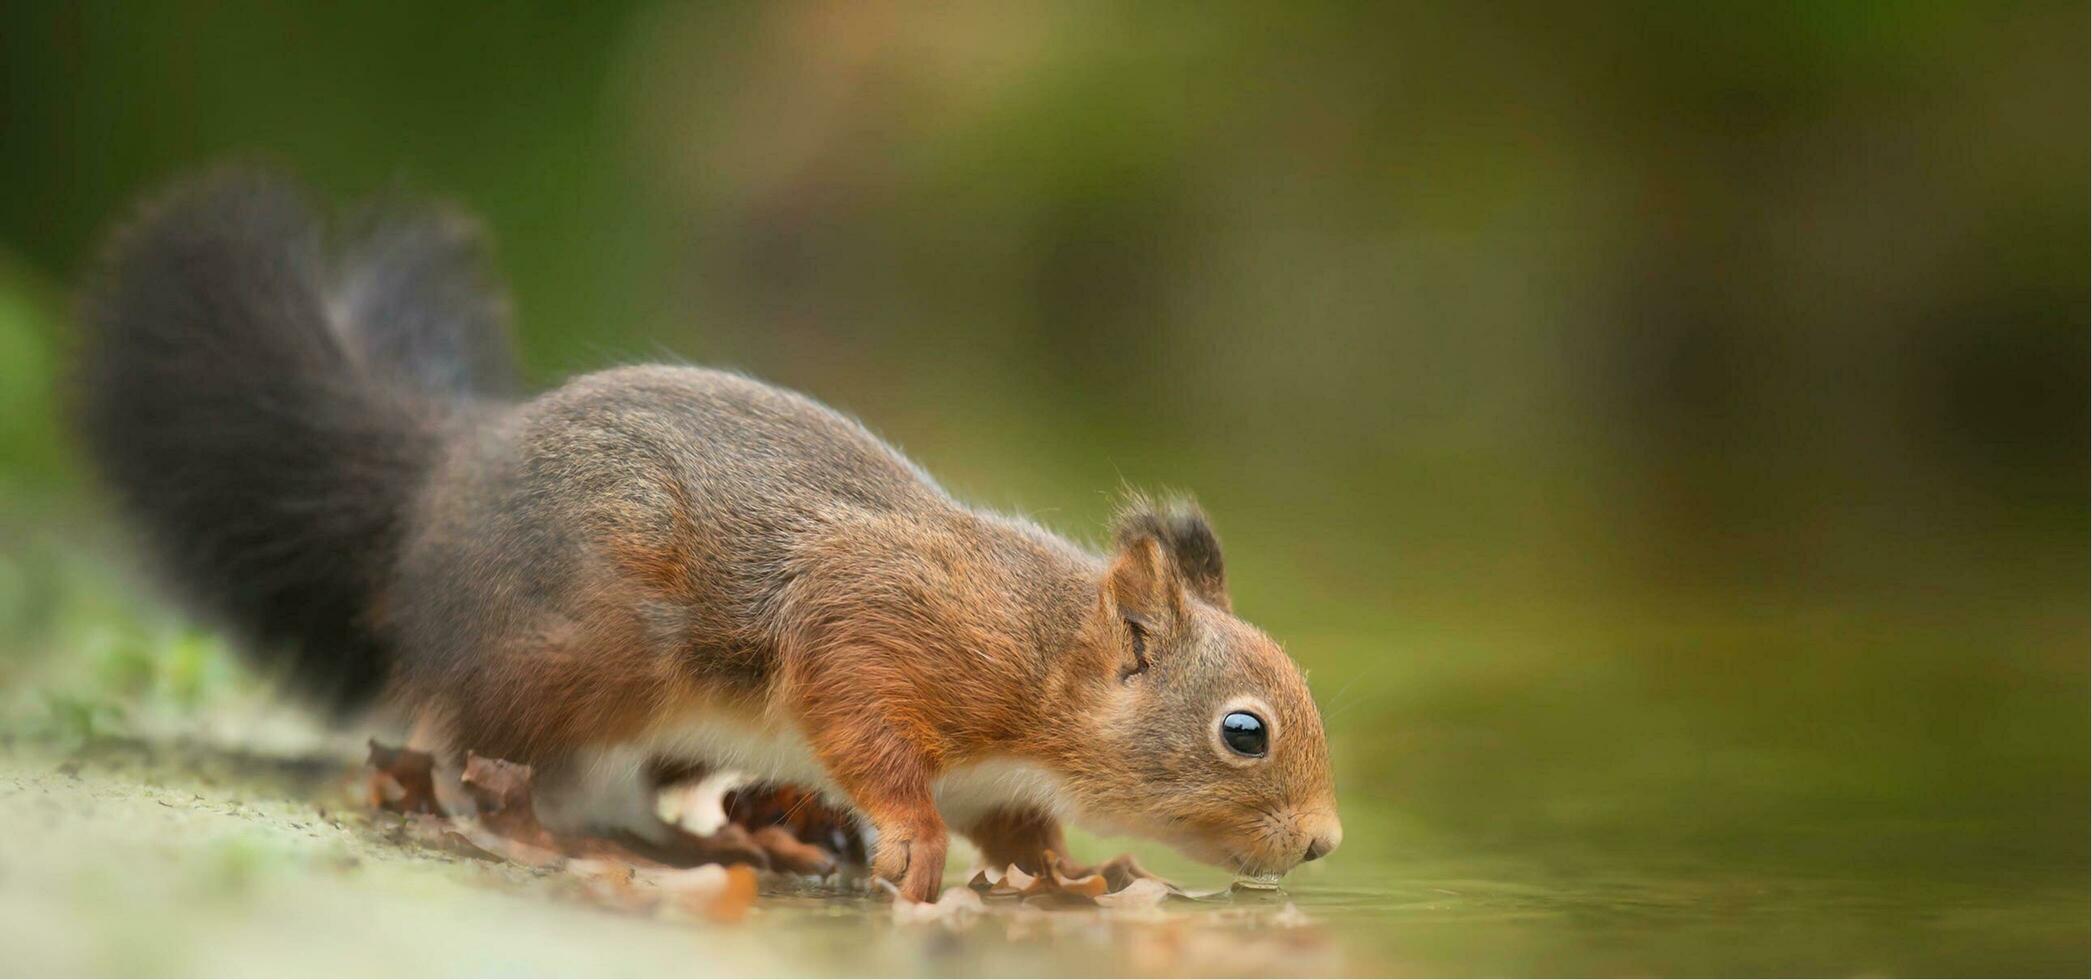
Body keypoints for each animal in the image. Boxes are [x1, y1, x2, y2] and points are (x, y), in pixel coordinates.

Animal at [77, 166, 1338, 896]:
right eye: (1243, 730)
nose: (1326, 843)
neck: (1045, 657)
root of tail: (441, 482)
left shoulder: (1000, 766)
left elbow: (1018, 829)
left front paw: (1068, 868)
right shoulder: (886, 623)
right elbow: (863, 716)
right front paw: (911, 836)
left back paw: (766, 833)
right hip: (580, 655)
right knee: (477, 753)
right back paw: (566, 837)